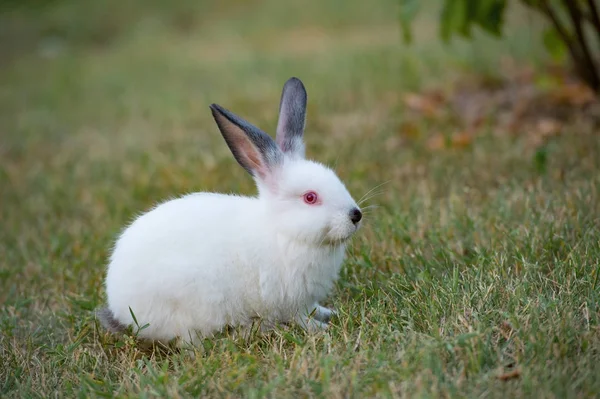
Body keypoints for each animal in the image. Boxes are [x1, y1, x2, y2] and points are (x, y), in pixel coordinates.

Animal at [97, 78, 360, 344]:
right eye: (310, 197)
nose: (355, 215)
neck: (283, 232)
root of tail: (122, 311)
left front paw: (330, 313)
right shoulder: (291, 303)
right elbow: (302, 319)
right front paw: (321, 329)